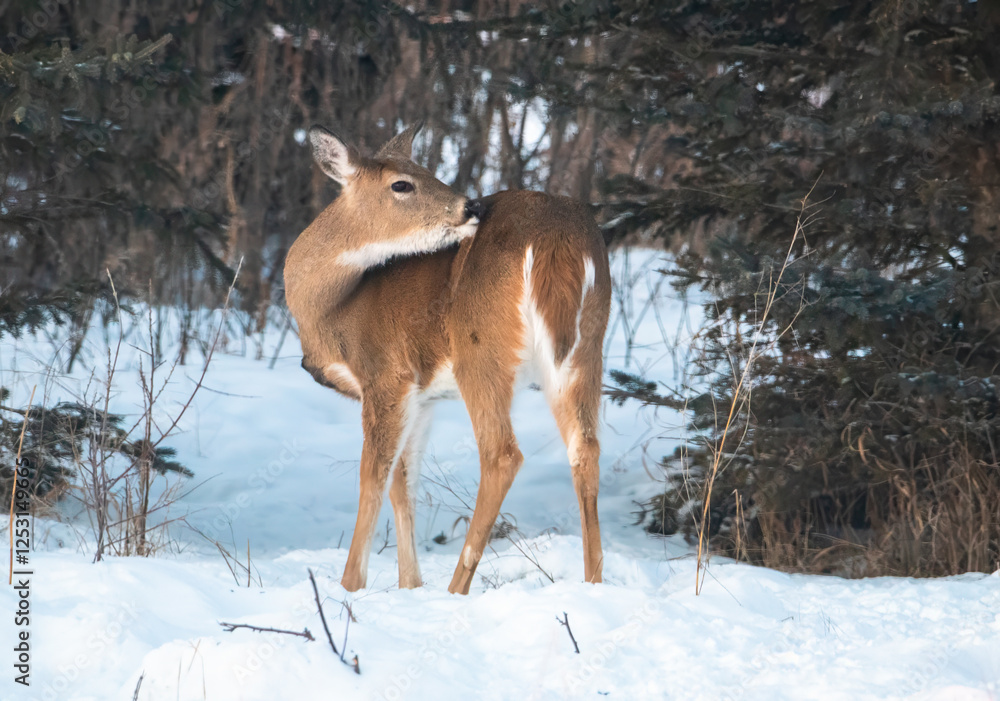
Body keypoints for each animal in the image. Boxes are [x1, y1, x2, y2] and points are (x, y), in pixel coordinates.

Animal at [283, 123, 611, 595]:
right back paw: (593, 584)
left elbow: (372, 478)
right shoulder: (421, 396)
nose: (471, 205)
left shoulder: (386, 374)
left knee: (502, 454)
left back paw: (458, 588)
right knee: (585, 448)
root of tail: (556, 239)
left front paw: (351, 585)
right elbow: (403, 481)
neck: (336, 308)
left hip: (480, 349)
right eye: (403, 182)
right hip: (587, 345)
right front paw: (410, 586)